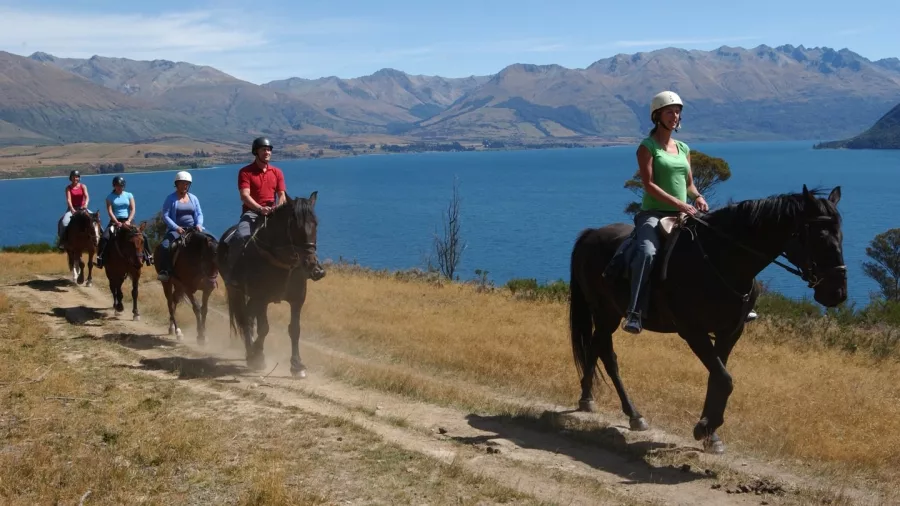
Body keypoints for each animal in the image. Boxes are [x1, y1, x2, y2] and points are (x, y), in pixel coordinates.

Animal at [217, 191, 326, 377]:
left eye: (316, 223)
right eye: (295, 226)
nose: (311, 265)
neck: (282, 262)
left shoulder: (297, 300)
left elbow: (294, 329)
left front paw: (297, 365)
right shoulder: (262, 299)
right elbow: (264, 328)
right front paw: (258, 356)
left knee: (248, 316)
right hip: (237, 291)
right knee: (245, 319)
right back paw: (251, 353)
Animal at [569, 185, 846, 454]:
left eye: (841, 236)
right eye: (820, 238)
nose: (837, 293)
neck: (722, 261)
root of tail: (592, 234)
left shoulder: (730, 332)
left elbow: (718, 378)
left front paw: (710, 434)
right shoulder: (693, 332)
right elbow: (725, 379)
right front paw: (704, 428)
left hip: (607, 314)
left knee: (596, 348)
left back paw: (591, 399)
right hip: (606, 313)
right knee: (607, 356)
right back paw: (628, 412)